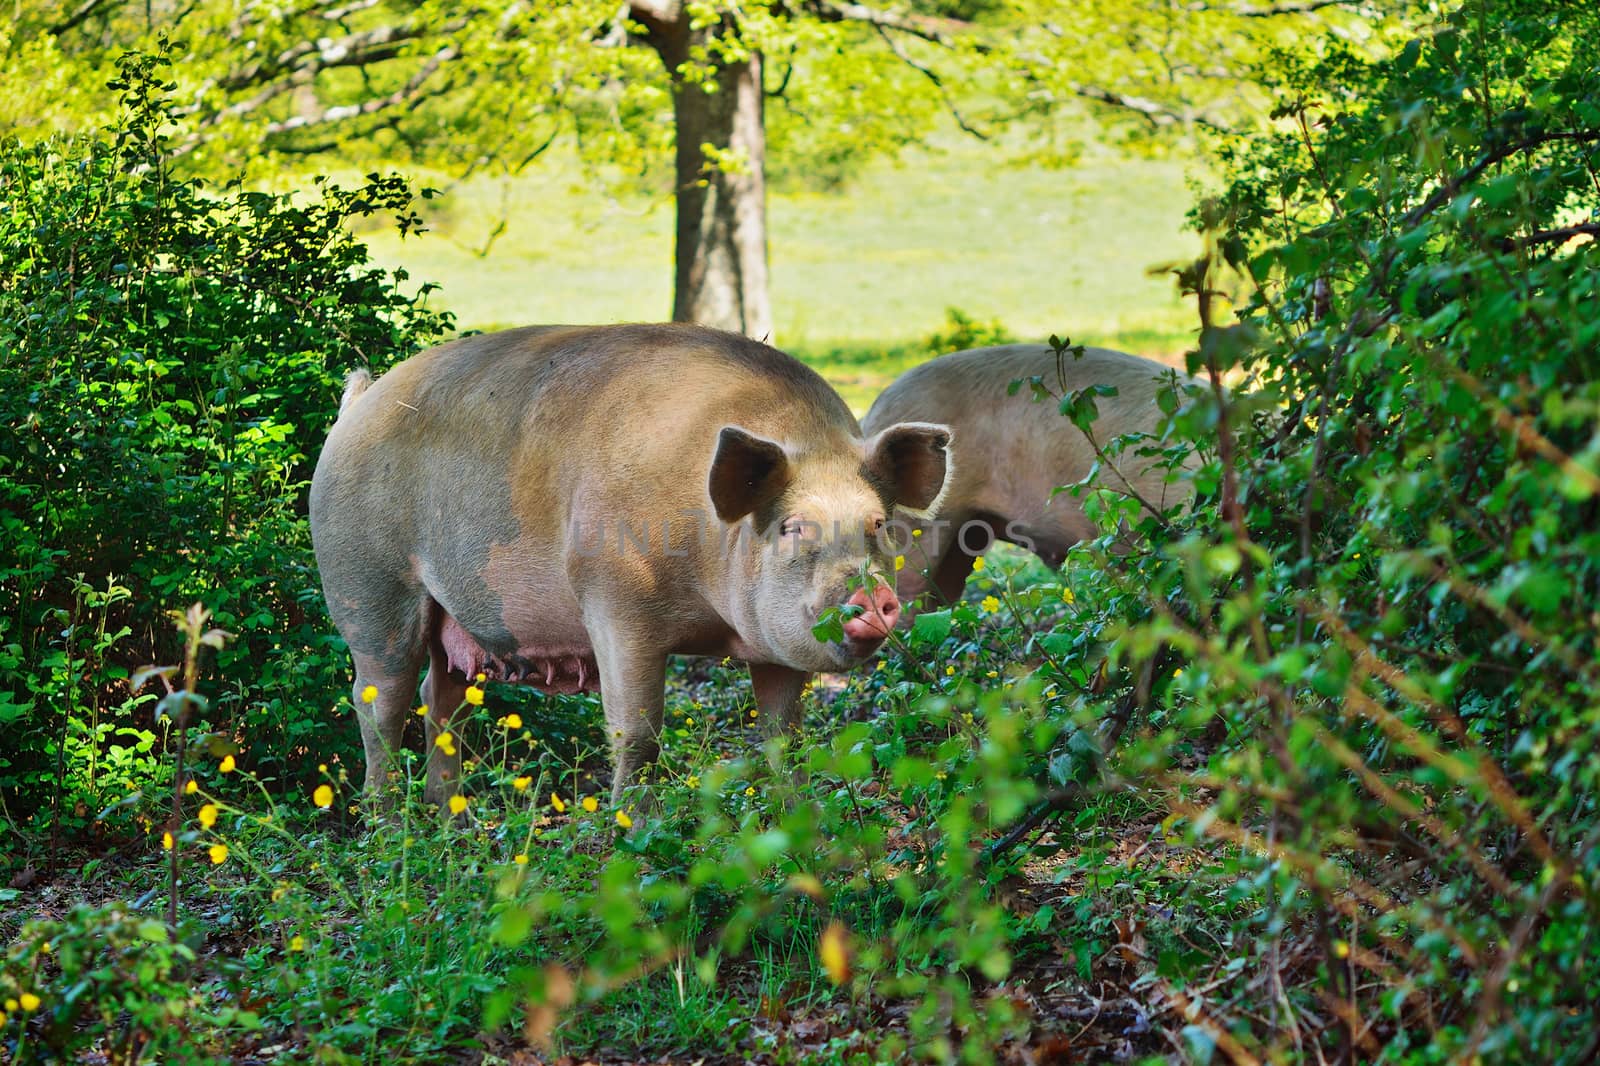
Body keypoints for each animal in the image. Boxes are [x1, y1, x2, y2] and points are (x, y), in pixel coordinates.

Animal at [308, 320, 947, 800]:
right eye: (792, 527)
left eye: (878, 524)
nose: (871, 596)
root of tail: (358, 405)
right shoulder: (614, 603)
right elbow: (636, 735)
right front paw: (630, 836)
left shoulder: (774, 646)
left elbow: (782, 737)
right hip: (365, 583)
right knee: (379, 703)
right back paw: (387, 827)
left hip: (457, 619)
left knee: (441, 702)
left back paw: (451, 824)